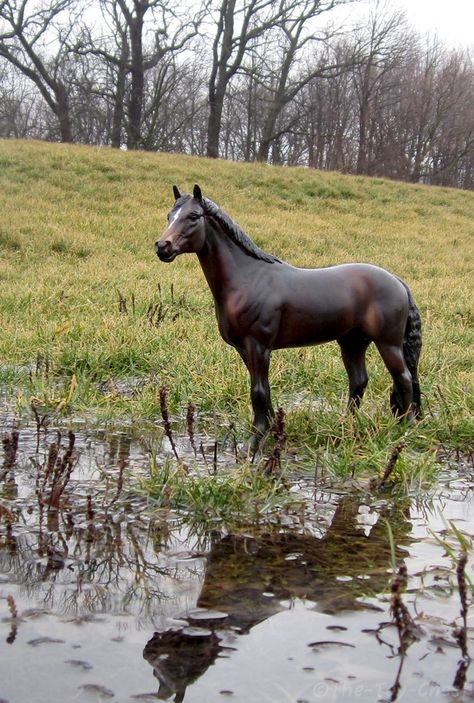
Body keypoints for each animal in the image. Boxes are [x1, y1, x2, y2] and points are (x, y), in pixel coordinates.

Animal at [156, 182, 422, 446]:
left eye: (193, 216)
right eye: (170, 216)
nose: (162, 247)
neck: (247, 278)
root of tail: (397, 281)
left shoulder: (258, 346)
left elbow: (258, 392)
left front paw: (255, 440)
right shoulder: (244, 349)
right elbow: (263, 390)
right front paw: (272, 429)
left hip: (388, 344)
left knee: (403, 378)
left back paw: (406, 429)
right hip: (352, 342)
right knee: (359, 381)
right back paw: (346, 426)